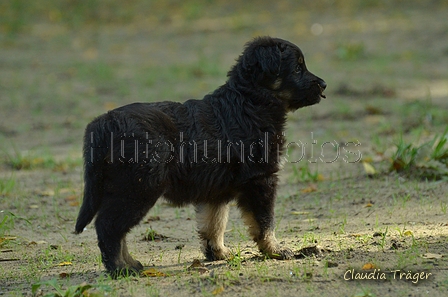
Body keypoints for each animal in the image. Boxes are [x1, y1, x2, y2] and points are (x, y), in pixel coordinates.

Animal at [75, 36, 328, 276]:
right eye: (297, 68)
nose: (324, 84)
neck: (251, 101)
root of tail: (102, 124)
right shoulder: (261, 179)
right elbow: (265, 222)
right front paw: (276, 250)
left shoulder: (215, 188)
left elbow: (214, 223)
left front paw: (218, 252)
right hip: (138, 187)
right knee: (108, 226)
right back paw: (120, 269)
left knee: (117, 230)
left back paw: (132, 264)